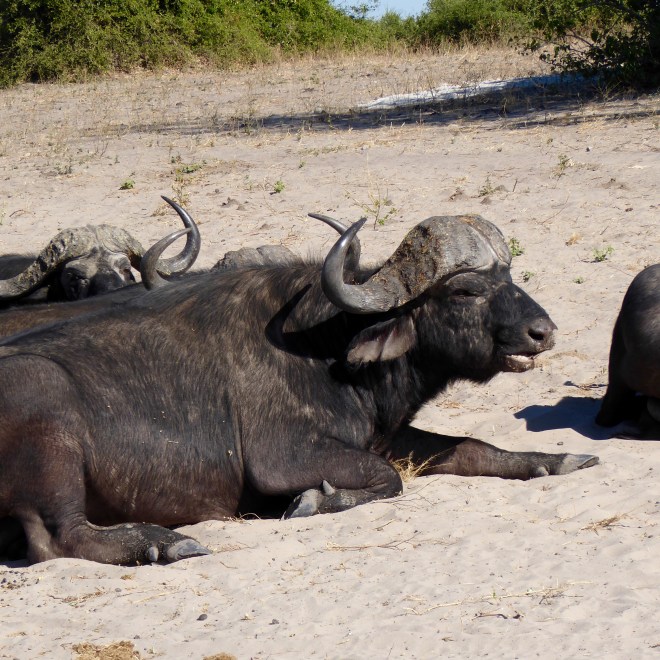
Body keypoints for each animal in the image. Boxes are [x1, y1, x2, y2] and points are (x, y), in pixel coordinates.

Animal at [0, 213, 598, 565]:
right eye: (467, 290)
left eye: (508, 275)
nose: (543, 331)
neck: (329, 346)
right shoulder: (283, 458)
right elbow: (388, 481)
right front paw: (316, 500)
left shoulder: (385, 436)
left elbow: (473, 446)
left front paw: (556, 459)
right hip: (48, 418)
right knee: (57, 537)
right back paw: (163, 542)